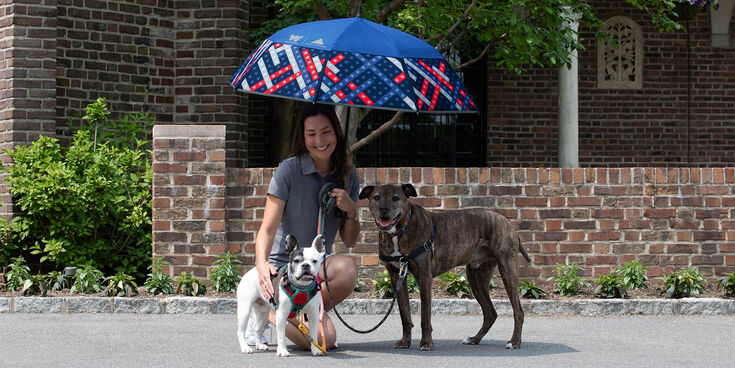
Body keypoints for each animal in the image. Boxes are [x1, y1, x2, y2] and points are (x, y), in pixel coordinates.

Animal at [360, 184, 532, 350]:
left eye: (396, 198)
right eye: (376, 197)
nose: (384, 209)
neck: (400, 230)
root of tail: (508, 222)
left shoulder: (424, 278)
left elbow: (425, 317)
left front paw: (426, 343)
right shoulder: (396, 276)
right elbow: (405, 315)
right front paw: (405, 342)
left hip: (507, 269)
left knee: (518, 311)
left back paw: (514, 342)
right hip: (476, 276)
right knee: (490, 313)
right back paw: (474, 339)